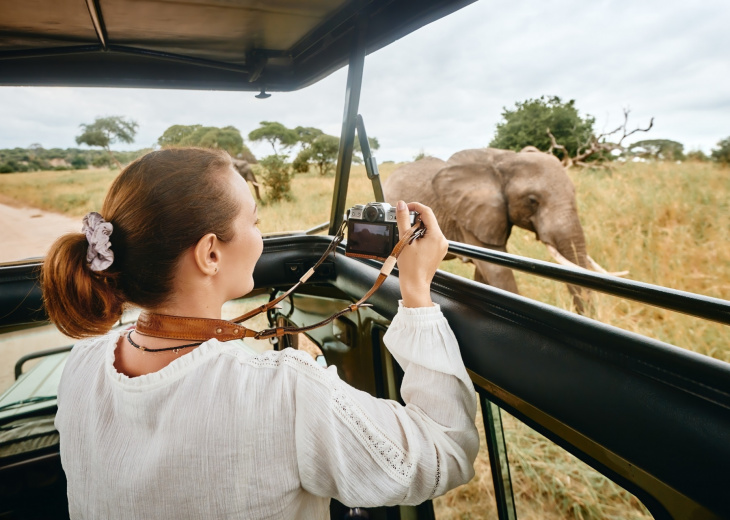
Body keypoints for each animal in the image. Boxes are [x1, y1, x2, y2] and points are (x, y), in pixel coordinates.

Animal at [382, 146, 620, 310]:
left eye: (574, 192)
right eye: (532, 200)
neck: (506, 158)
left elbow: (485, 272)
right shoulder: (470, 215)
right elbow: (497, 271)